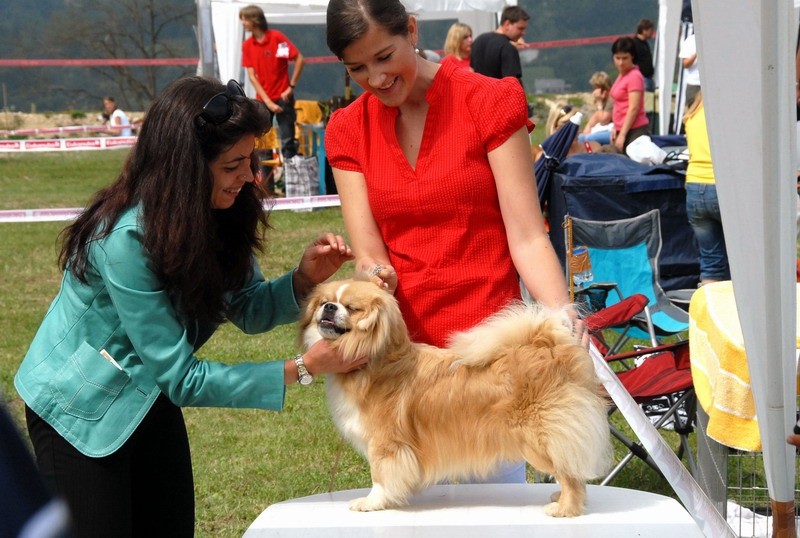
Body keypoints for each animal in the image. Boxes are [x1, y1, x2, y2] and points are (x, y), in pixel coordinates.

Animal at [300, 276, 612, 516]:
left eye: (351, 308)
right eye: (324, 301)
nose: (329, 307)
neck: (375, 362)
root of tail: (549, 347)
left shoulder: (386, 445)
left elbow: (381, 477)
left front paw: (371, 503)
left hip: (540, 438)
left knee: (571, 475)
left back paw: (564, 509)